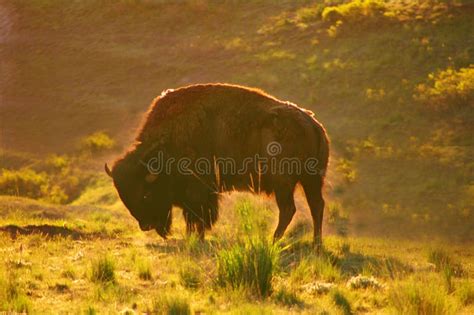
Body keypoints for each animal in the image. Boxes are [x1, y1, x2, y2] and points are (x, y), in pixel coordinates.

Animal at [105, 84, 328, 249]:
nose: (146, 225)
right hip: (311, 180)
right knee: (316, 206)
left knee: (289, 209)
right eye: (124, 196)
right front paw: (193, 238)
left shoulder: (199, 191)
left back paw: (272, 242)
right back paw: (316, 245)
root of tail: (312, 123)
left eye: (146, 194)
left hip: (284, 183)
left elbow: (198, 216)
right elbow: (193, 218)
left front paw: (197, 239)